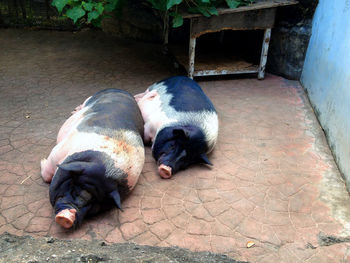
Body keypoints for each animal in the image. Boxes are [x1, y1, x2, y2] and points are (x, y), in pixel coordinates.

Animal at [40, 89, 144, 229]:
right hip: (90, 99)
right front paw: (42, 160)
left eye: (93, 202)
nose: (67, 218)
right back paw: (74, 110)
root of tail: (119, 90)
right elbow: (47, 172)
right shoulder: (59, 150)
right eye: (74, 187)